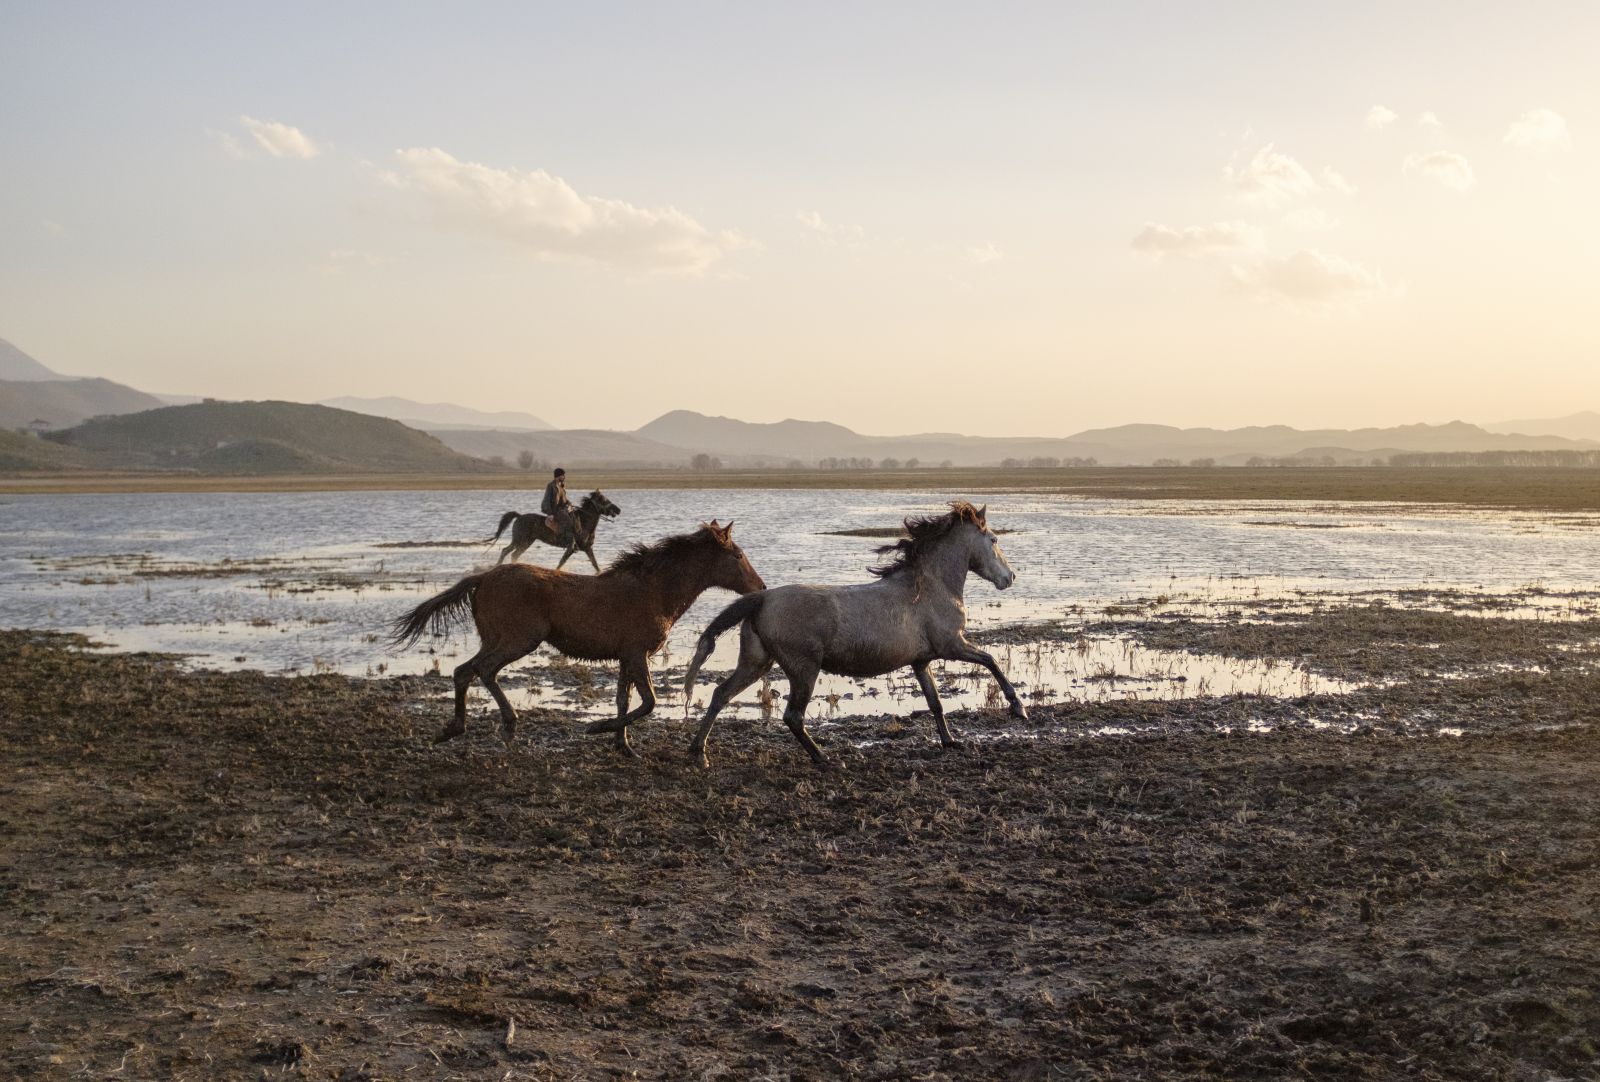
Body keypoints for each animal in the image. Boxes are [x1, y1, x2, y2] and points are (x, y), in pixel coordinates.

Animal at [393, 521, 765, 755]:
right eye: (737, 555)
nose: (760, 586)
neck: (656, 592)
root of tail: (483, 578)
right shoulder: (636, 653)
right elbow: (649, 702)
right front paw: (598, 729)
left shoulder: (626, 657)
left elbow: (624, 700)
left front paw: (624, 747)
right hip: (518, 640)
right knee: (481, 671)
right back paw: (503, 725)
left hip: (496, 638)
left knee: (465, 671)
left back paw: (458, 728)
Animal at [486, 490, 622, 572]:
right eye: (604, 500)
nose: (618, 510)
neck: (584, 523)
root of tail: (519, 516)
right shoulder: (571, 548)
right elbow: (561, 563)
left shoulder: (588, 548)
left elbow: (595, 565)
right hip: (521, 540)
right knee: (507, 551)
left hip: (525, 542)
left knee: (512, 553)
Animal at [683, 501, 1027, 768]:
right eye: (994, 539)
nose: (1010, 577)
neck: (930, 587)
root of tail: (763, 598)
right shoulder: (952, 645)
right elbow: (991, 660)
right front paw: (1017, 707)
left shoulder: (922, 661)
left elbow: (935, 703)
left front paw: (950, 741)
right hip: (803, 669)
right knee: (792, 716)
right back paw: (824, 758)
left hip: (756, 663)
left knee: (720, 694)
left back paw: (699, 753)